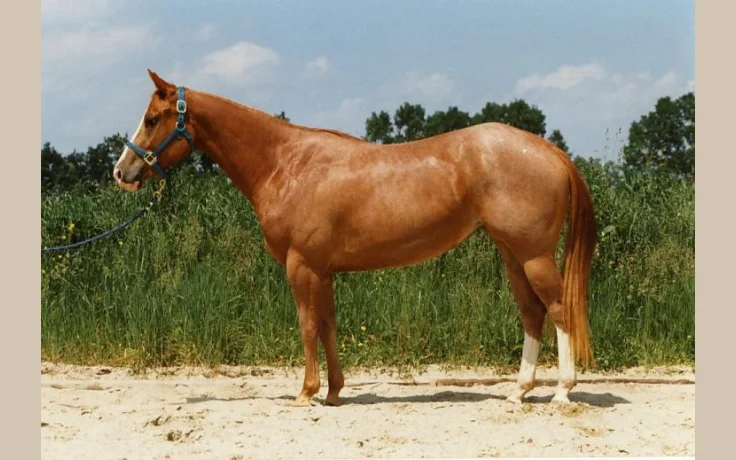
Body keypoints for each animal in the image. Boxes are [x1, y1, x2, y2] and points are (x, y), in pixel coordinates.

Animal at [113, 70, 597, 407]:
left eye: (152, 119)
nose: (122, 171)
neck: (287, 164)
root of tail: (550, 151)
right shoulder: (323, 270)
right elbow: (328, 324)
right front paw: (333, 392)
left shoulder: (302, 265)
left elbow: (307, 325)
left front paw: (305, 393)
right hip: (513, 255)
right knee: (532, 314)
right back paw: (519, 391)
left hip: (534, 256)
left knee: (558, 309)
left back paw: (562, 392)